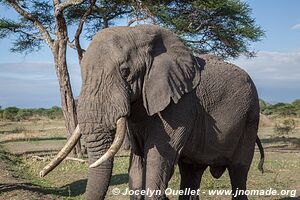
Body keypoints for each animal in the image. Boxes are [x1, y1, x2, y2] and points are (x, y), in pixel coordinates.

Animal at [40, 24, 264, 199]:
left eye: (125, 72)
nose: (42, 174)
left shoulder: (182, 104)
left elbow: (158, 159)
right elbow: (137, 166)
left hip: (251, 118)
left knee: (238, 172)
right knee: (191, 172)